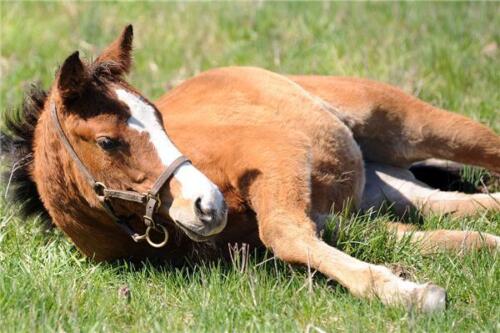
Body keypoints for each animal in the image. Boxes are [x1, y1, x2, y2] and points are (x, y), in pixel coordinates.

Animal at [1, 25, 498, 312]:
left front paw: (412, 295)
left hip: (409, 125)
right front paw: (412, 284)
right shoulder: (338, 221)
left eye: (159, 117)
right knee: (456, 206)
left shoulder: (277, 153)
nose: (206, 204)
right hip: (381, 186)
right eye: (108, 141)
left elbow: (283, 233)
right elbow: (444, 239)